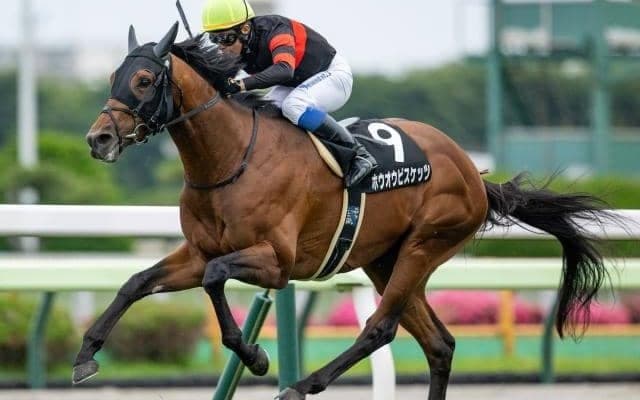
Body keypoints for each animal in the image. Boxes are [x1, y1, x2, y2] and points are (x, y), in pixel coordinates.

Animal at [78, 23, 616, 399]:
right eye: (112, 76)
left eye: (144, 79)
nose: (98, 139)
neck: (231, 159)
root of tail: (472, 172)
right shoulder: (197, 252)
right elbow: (137, 283)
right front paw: (86, 353)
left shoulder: (275, 262)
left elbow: (214, 280)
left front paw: (256, 357)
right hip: (385, 258)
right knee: (439, 344)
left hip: (424, 244)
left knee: (380, 327)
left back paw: (302, 385)